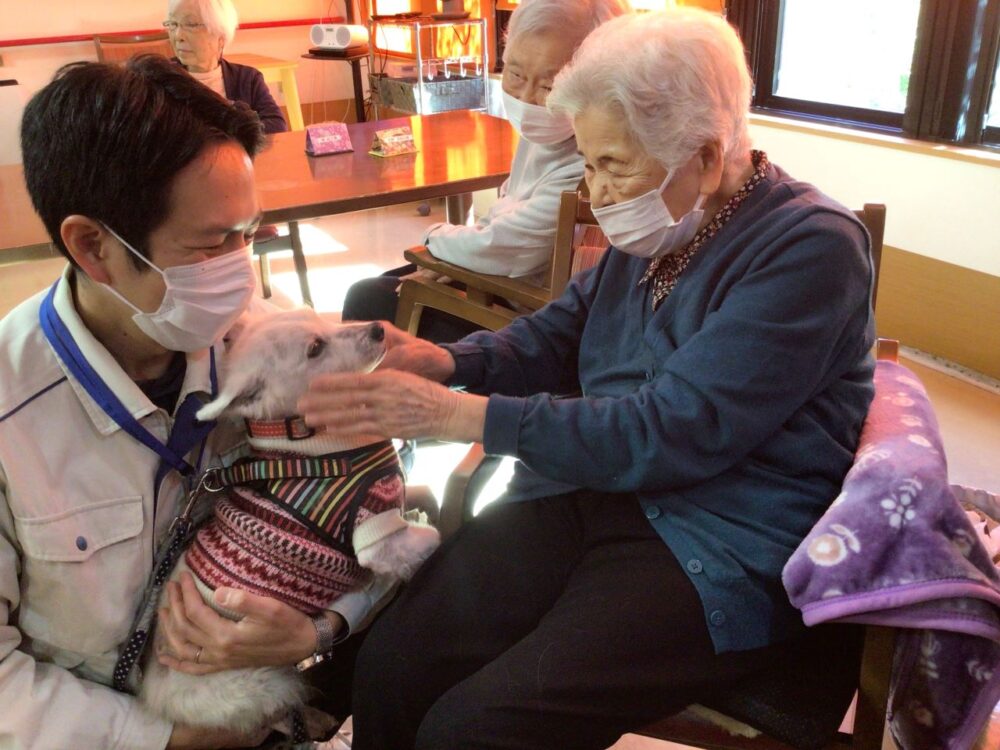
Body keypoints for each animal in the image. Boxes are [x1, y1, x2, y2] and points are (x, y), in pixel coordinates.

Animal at [139, 310, 440, 740]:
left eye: (323, 318)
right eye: (314, 348)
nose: (380, 328)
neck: (313, 447)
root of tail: (155, 696)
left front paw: (416, 514)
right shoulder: (374, 533)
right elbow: (429, 538)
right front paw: (419, 539)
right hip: (265, 685)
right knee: (276, 716)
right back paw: (311, 721)